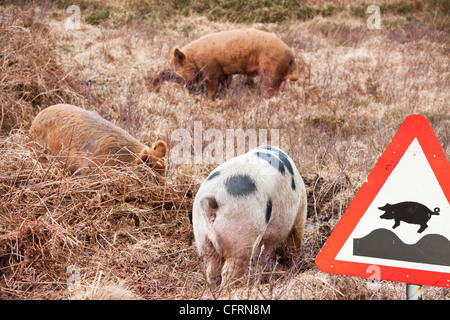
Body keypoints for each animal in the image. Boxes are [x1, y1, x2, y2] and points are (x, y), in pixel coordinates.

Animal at [172, 28, 302, 99]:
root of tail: (291, 54)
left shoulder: (212, 70)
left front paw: (209, 100)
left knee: (271, 88)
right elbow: (225, 84)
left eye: (181, 66)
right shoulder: (224, 72)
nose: (188, 87)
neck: (194, 58)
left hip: (272, 70)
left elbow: (212, 88)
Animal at [192, 146, 308, 288]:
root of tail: (212, 200)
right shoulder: (301, 208)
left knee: (212, 267)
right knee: (230, 270)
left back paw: (214, 289)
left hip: (202, 235)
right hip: (241, 235)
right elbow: (296, 237)